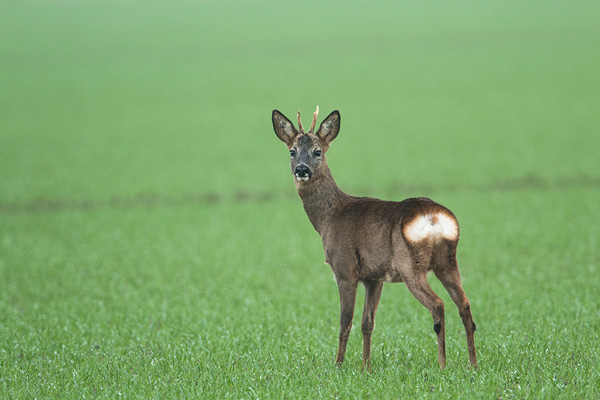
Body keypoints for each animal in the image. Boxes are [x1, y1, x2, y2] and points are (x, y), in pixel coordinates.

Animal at [272, 107, 478, 372]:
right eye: (292, 150)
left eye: (318, 151)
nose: (301, 169)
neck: (329, 218)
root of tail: (434, 218)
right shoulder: (374, 276)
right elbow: (367, 323)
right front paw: (366, 367)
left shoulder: (345, 269)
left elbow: (345, 322)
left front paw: (338, 365)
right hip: (448, 262)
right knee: (464, 305)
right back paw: (473, 364)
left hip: (411, 265)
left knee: (438, 305)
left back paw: (442, 365)